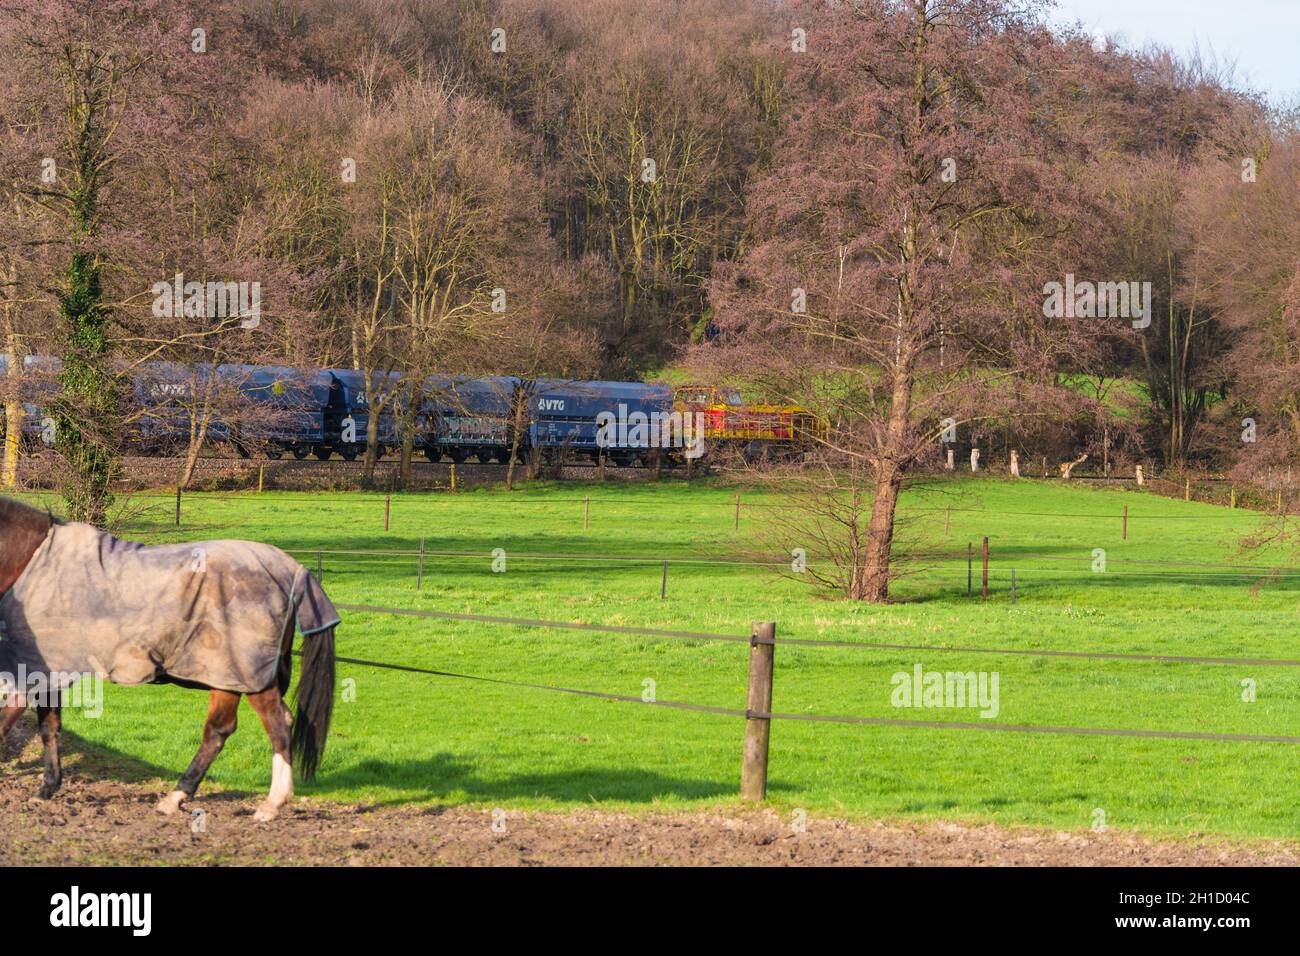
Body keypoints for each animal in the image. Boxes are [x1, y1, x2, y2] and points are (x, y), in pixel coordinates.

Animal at [0, 496, 340, 816]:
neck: (34, 560)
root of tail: (289, 569)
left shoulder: (34, 668)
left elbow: (15, 719)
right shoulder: (46, 671)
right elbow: (47, 726)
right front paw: (48, 787)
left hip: (249, 676)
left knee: (277, 724)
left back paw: (271, 804)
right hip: (225, 677)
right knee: (218, 731)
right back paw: (176, 796)